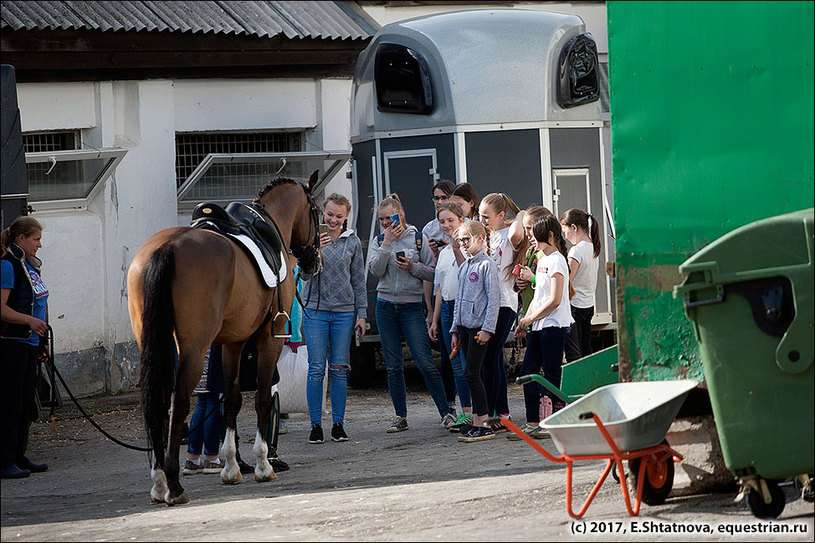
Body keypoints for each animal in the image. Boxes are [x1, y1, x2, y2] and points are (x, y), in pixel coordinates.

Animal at [126, 174, 320, 506]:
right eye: (318, 212)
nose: (314, 261)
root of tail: (166, 248)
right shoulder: (269, 340)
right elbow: (262, 398)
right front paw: (263, 464)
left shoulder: (232, 343)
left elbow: (231, 399)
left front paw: (231, 466)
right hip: (192, 348)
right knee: (178, 404)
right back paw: (173, 485)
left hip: (153, 345)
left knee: (158, 403)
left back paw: (159, 481)